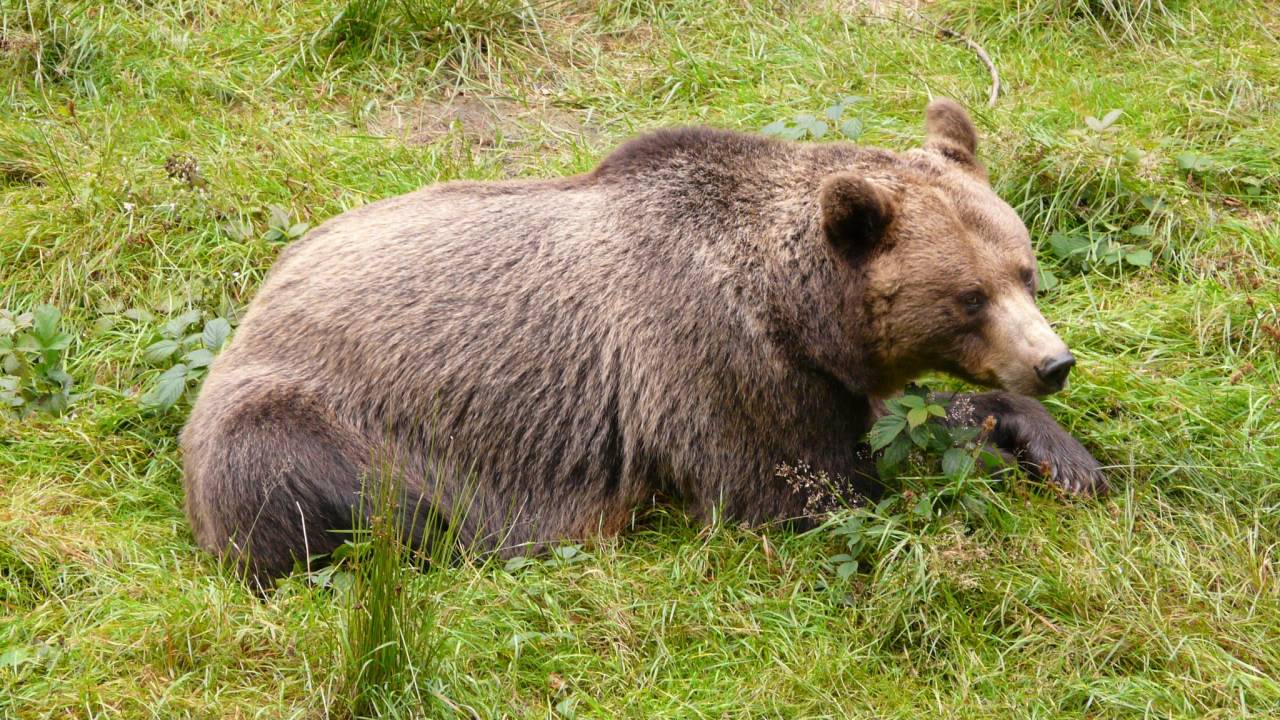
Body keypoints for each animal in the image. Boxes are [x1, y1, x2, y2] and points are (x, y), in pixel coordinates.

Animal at [180, 98, 1100, 579]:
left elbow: (908, 422)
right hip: (308, 415)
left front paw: (1065, 455)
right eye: (968, 297)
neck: (794, 311)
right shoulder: (716, 364)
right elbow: (808, 495)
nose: (1051, 362)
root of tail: (257, 301)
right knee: (340, 497)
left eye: (1025, 272)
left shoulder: (824, 376)